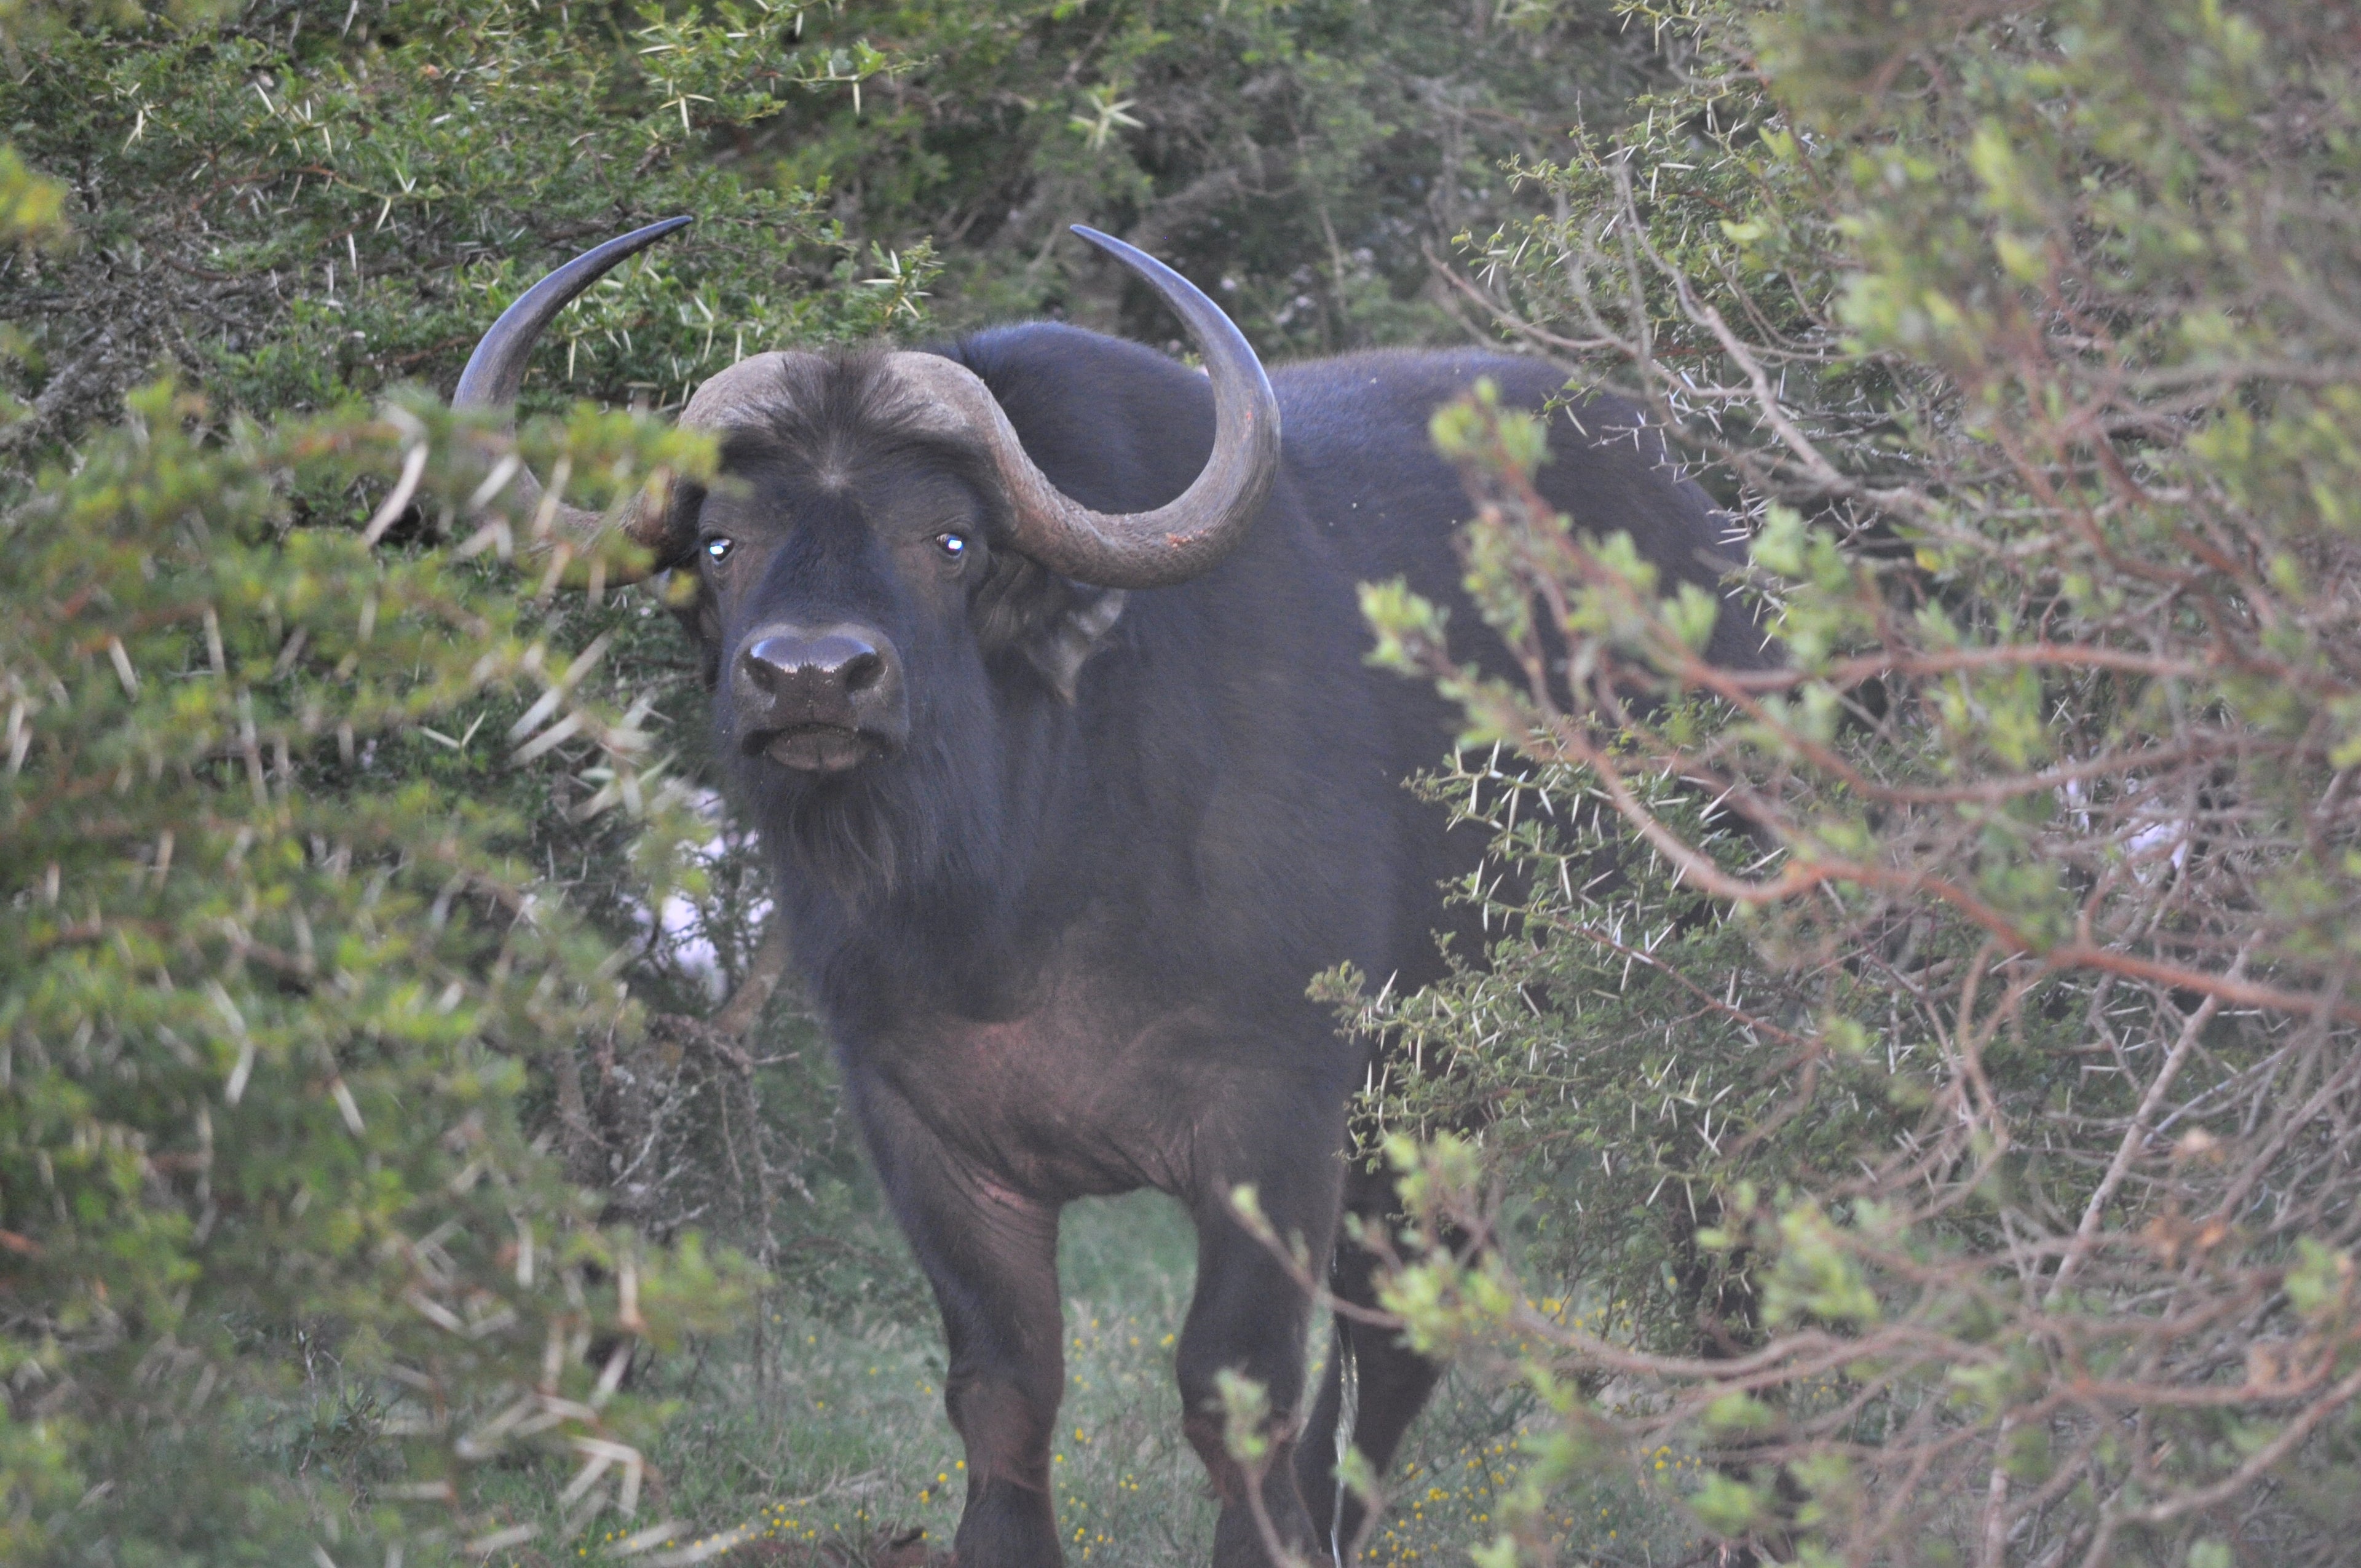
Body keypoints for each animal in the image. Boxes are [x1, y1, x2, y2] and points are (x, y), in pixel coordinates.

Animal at [454, 217, 1761, 1567]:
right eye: (723, 543)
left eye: (951, 541)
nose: (812, 676)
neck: (1018, 897)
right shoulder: (923, 1134)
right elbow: (1005, 1384)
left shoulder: (1275, 1116)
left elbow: (1235, 1384)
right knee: (1409, 1320)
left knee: (1710, 1265)